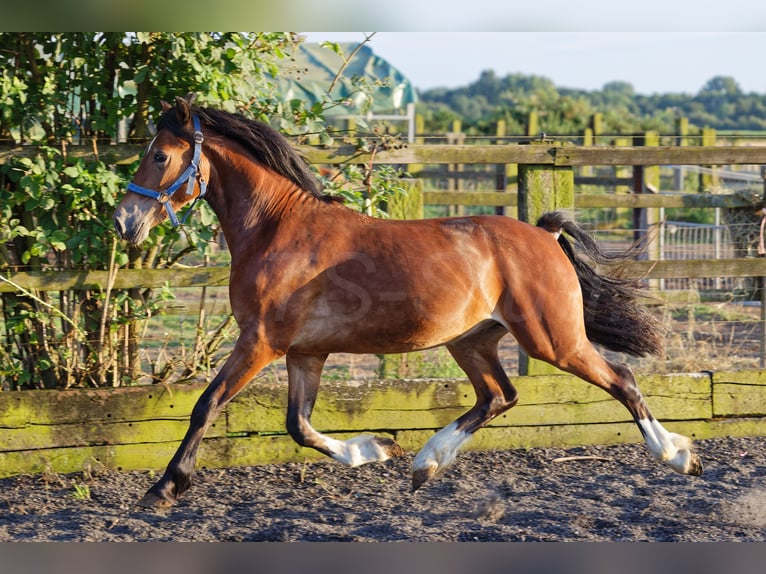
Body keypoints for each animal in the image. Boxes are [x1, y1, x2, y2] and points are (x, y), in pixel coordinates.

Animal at [114, 95, 702, 508]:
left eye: (160, 156)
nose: (124, 221)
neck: (277, 230)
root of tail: (544, 234)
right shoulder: (305, 353)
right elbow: (298, 426)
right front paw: (374, 449)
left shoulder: (261, 342)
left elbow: (207, 404)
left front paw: (165, 488)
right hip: (473, 341)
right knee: (499, 396)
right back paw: (425, 464)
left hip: (553, 339)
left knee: (621, 380)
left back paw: (677, 455)